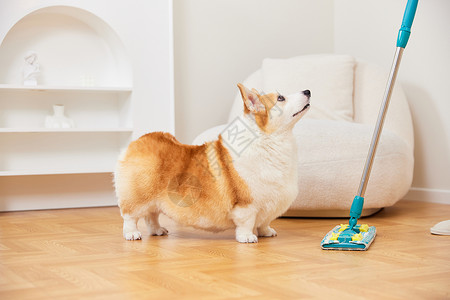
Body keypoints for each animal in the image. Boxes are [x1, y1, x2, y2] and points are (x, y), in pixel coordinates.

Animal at [113, 83, 310, 243]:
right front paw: (247, 237)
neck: (270, 140)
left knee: (151, 216)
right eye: (281, 98)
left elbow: (264, 221)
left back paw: (158, 230)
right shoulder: (246, 204)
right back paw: (132, 234)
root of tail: (136, 143)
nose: (308, 91)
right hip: (139, 197)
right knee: (130, 216)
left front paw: (266, 232)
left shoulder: (270, 203)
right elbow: (246, 222)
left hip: (154, 201)